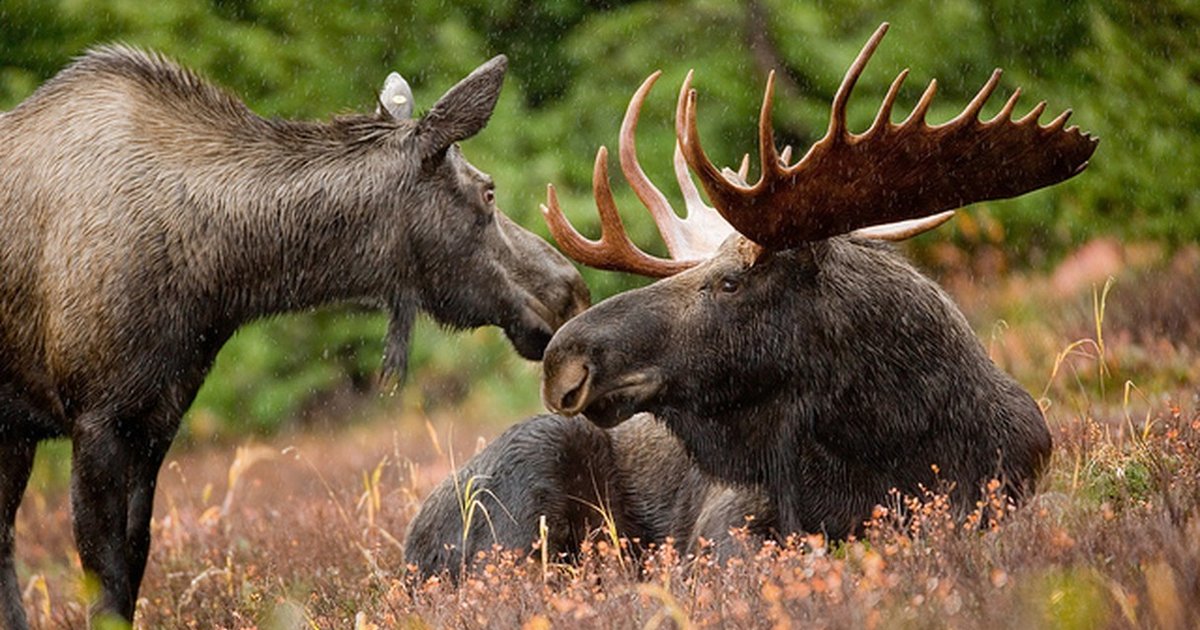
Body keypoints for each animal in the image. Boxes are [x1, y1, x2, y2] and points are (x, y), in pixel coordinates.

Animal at [0, 46, 588, 626]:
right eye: (488, 192)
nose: (571, 290)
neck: (217, 279)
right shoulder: (96, 417)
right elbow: (105, 581)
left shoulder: (156, 419)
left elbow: (134, 559)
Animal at [404, 23, 1097, 579]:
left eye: (731, 282)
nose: (563, 360)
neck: (892, 440)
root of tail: (408, 549)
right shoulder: (730, 520)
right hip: (529, 476)